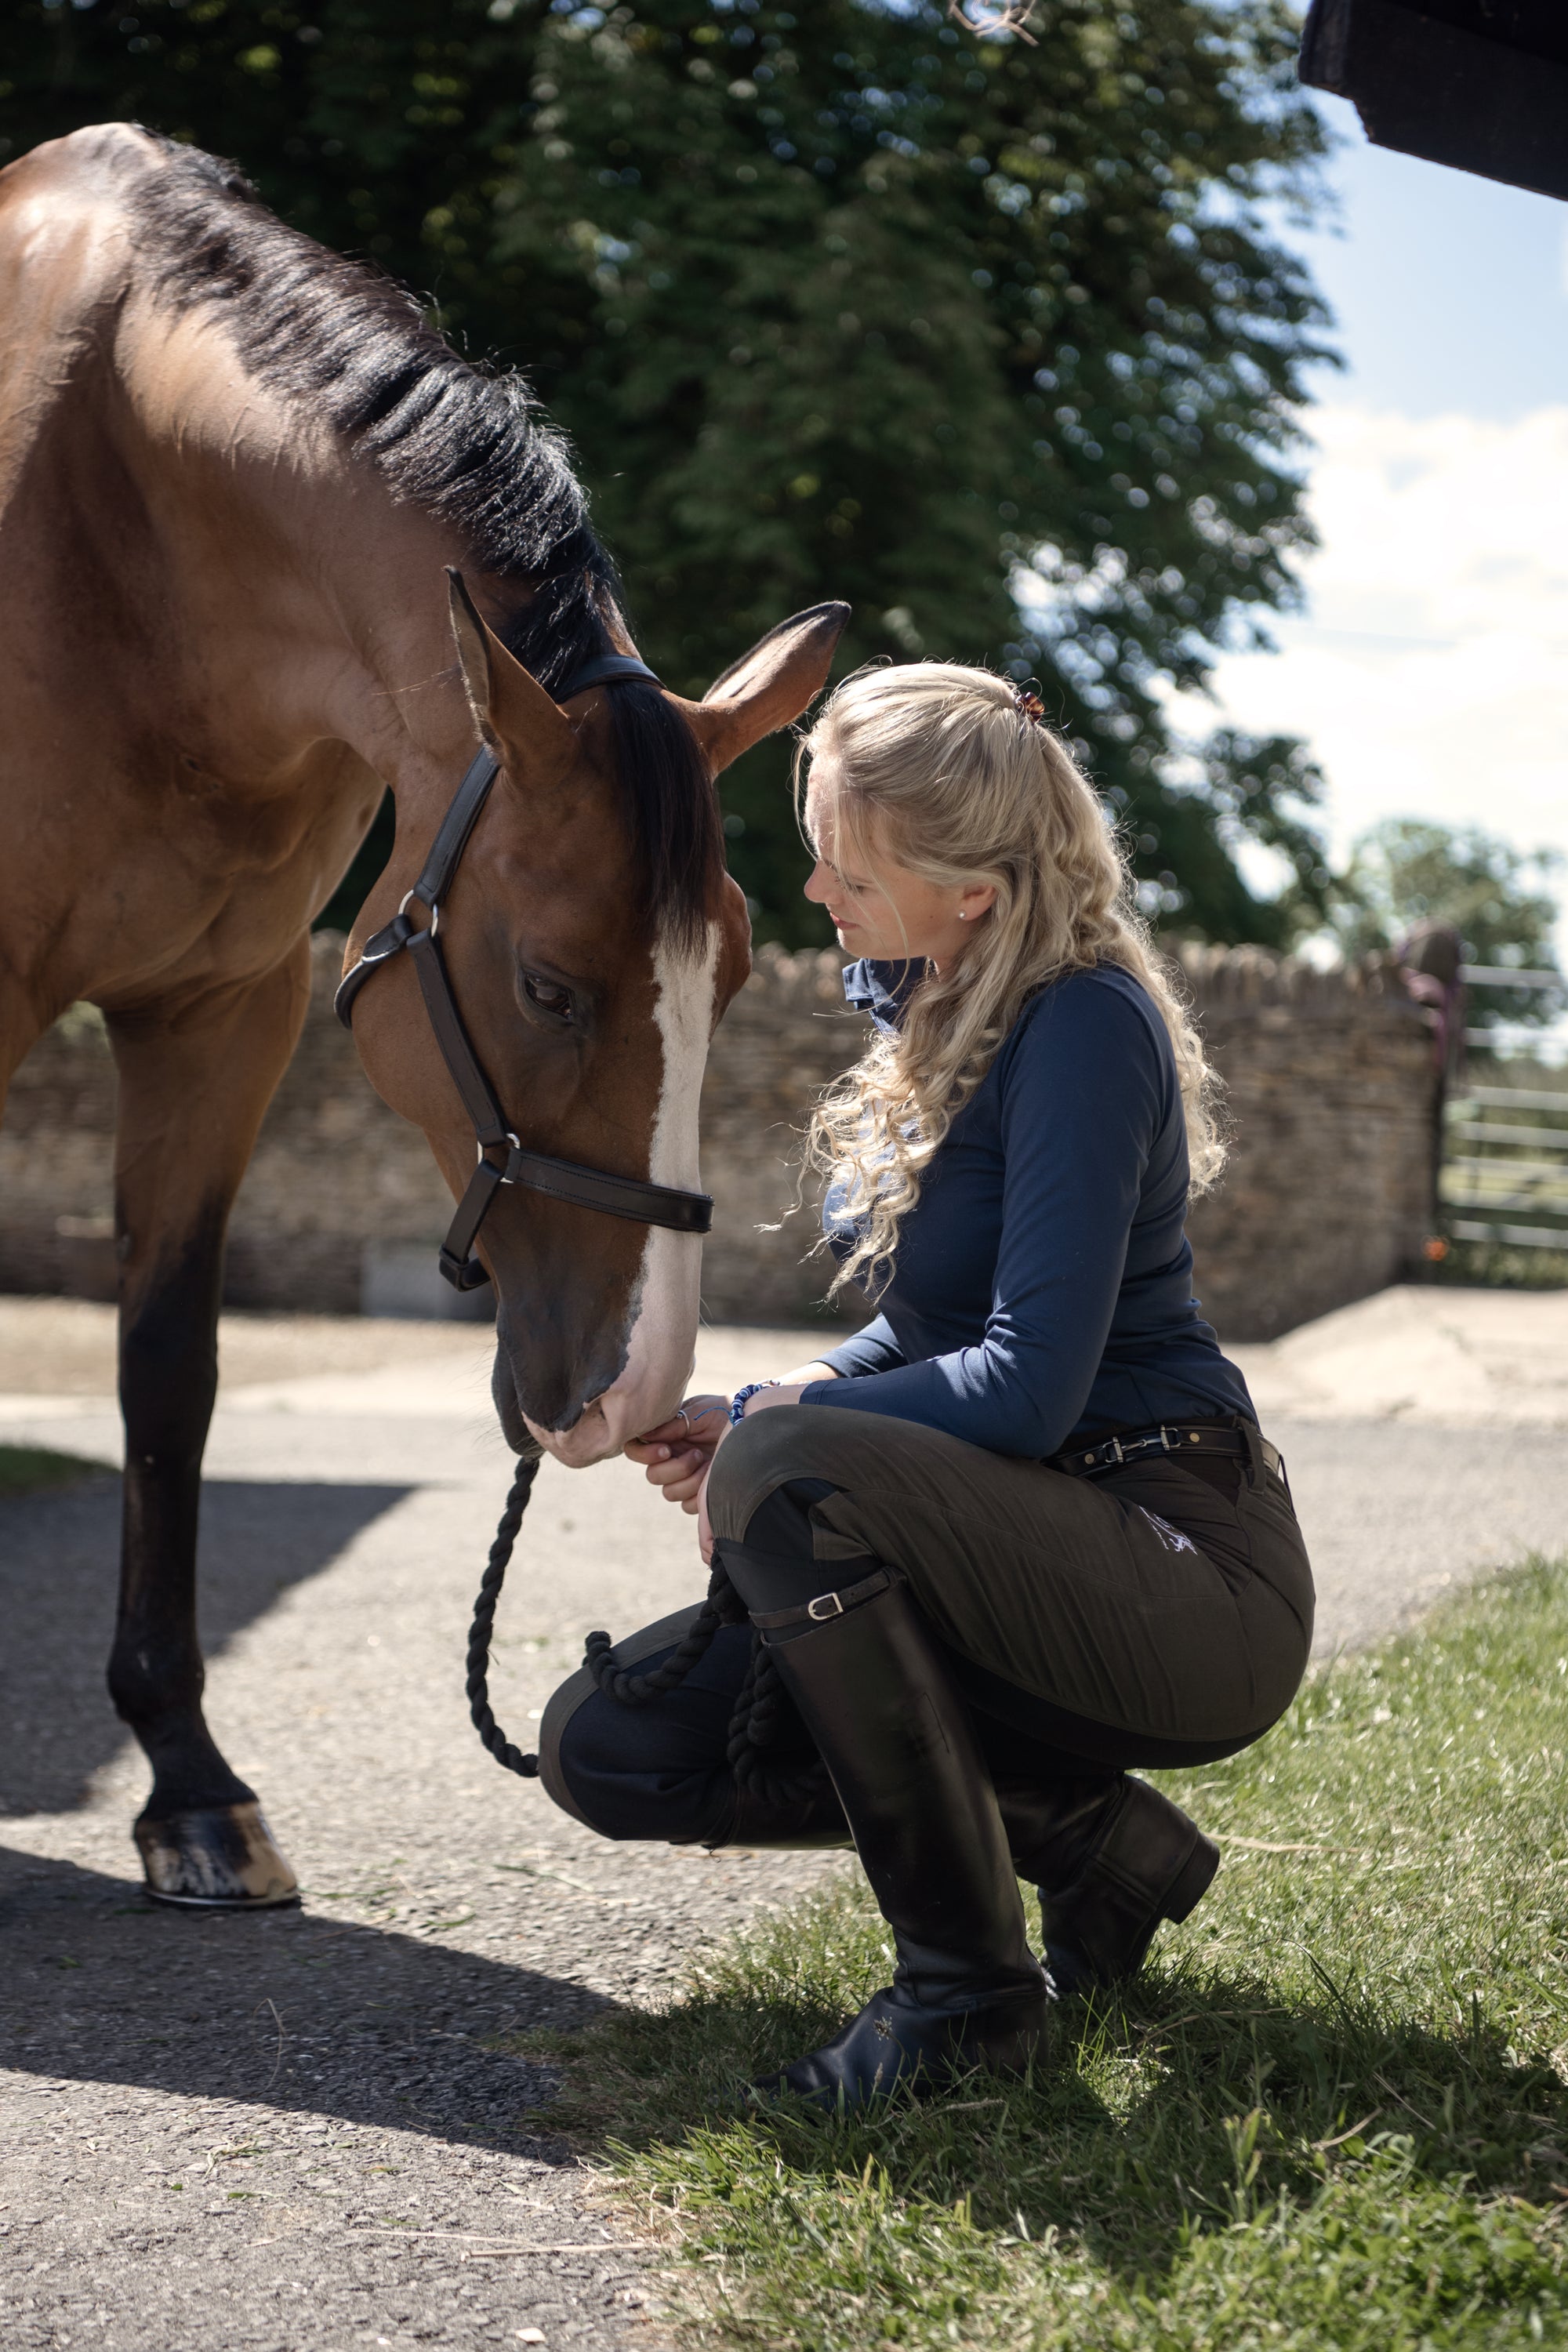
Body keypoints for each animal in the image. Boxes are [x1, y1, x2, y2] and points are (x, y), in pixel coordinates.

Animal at [0, 129, 851, 1910]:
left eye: (737, 974)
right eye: (547, 984)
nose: (634, 1388)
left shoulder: (225, 1008)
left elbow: (167, 1372)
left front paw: (188, 1785)